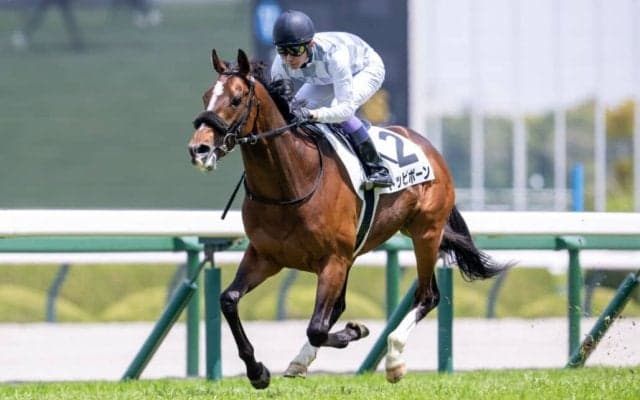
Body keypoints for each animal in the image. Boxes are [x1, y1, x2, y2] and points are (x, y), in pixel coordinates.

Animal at [188, 49, 508, 389]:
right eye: (206, 96)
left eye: (236, 99)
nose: (199, 149)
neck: (291, 182)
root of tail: (427, 145)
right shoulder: (265, 256)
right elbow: (229, 300)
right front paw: (257, 371)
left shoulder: (333, 259)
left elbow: (317, 328)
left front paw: (356, 331)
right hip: (359, 249)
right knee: (339, 306)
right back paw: (301, 361)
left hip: (426, 233)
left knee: (427, 295)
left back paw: (394, 359)